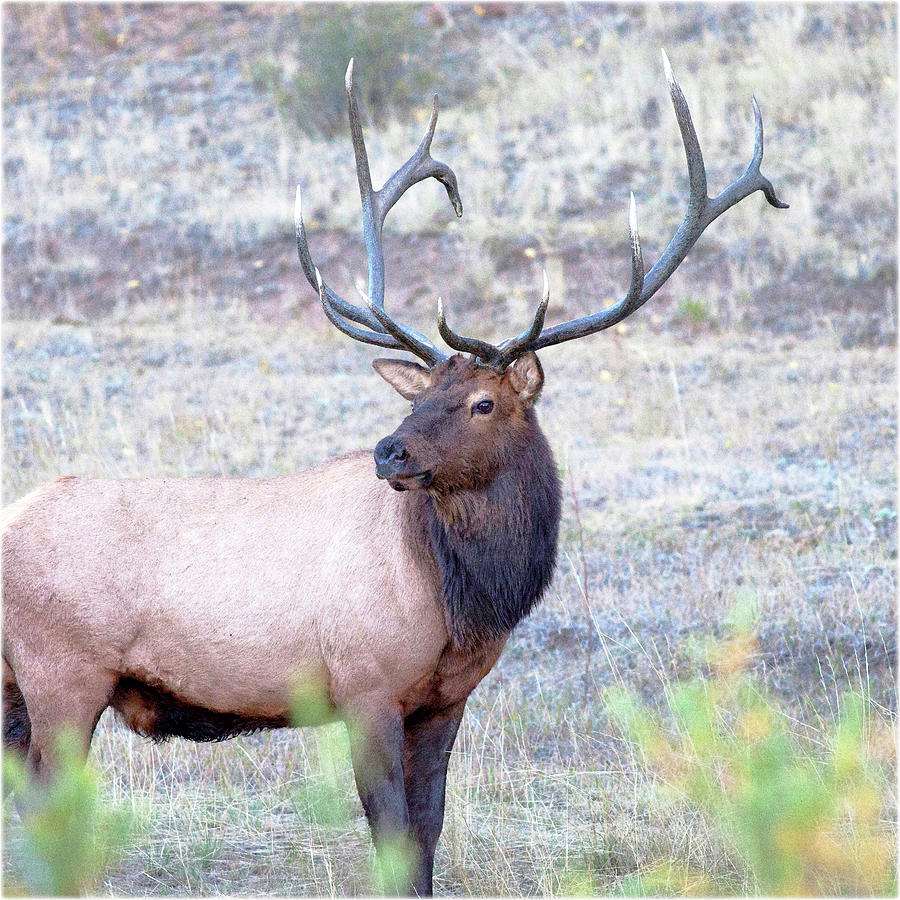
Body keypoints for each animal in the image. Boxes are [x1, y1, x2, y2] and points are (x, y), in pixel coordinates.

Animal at [3, 54, 784, 892]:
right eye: (421, 396)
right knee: (45, 811)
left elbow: (428, 832)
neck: (460, 596)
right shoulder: (363, 685)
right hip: (61, 673)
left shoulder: (444, 701)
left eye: (480, 401)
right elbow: (390, 838)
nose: (390, 452)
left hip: (18, 685)